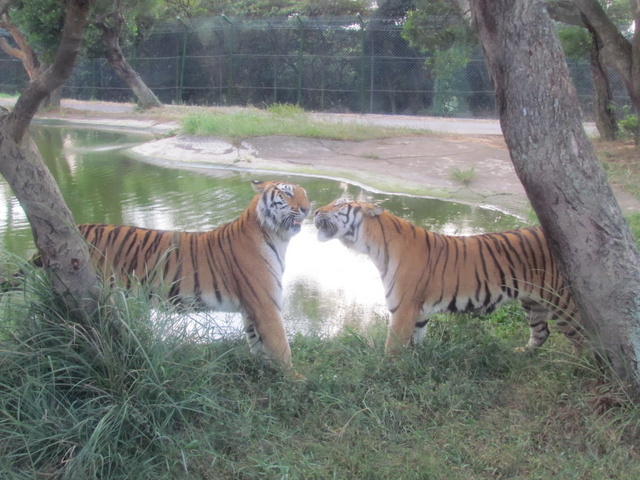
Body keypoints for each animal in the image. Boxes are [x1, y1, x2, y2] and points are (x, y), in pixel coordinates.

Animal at [25, 181, 308, 368]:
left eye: (305, 193)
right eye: (286, 193)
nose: (307, 209)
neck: (276, 235)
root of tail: (80, 226)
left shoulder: (251, 307)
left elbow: (257, 343)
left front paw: (264, 372)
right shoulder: (265, 304)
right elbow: (281, 347)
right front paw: (293, 382)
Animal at [312, 198, 584, 356]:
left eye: (338, 205)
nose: (314, 211)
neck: (372, 245)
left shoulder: (402, 308)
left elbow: (392, 348)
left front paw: (385, 375)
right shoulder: (418, 311)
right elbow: (417, 340)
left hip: (561, 300)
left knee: (582, 336)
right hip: (532, 301)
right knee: (541, 333)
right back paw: (520, 353)